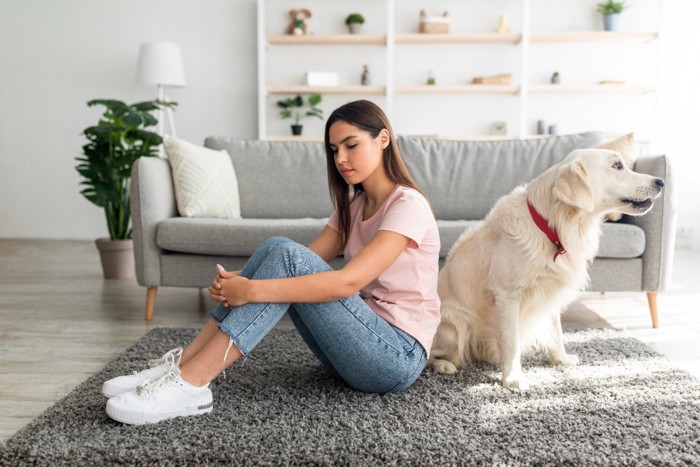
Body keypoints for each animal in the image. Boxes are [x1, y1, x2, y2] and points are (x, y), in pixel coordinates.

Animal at [430, 148, 664, 390]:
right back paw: (443, 365)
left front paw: (561, 359)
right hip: (456, 325)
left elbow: (557, 331)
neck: (555, 228)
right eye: (617, 166)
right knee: (429, 353)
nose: (661, 182)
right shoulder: (507, 296)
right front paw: (513, 379)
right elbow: (511, 342)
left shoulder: (551, 290)